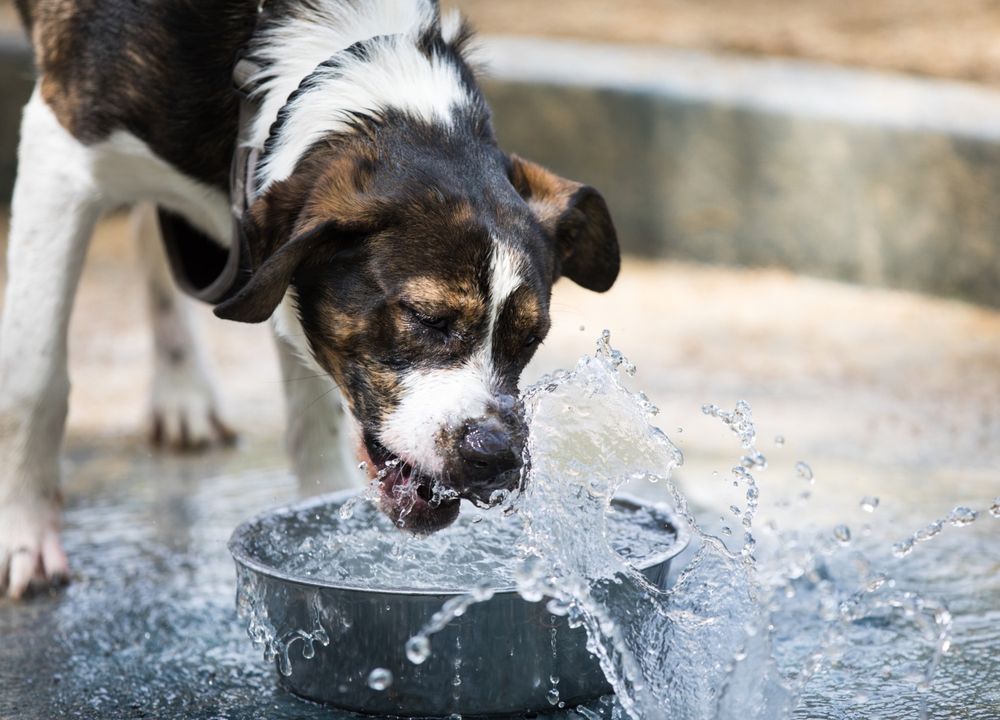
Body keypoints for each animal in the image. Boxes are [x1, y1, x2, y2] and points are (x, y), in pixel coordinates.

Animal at [0, 0, 620, 600]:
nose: (494, 457)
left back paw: (182, 390)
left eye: (532, 338)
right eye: (426, 318)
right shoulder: (59, 151)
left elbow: (313, 420)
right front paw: (23, 534)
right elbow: (34, 383)